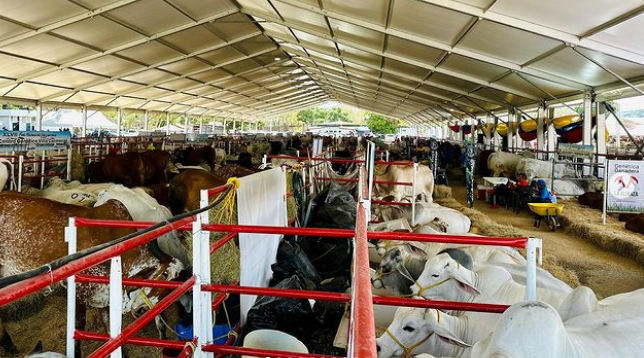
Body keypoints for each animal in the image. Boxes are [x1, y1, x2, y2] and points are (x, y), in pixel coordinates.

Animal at [0, 193, 184, 356]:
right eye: (164, 274)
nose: (143, 309)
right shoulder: (79, 291)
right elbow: (78, 328)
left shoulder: (105, 294)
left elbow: (111, 328)